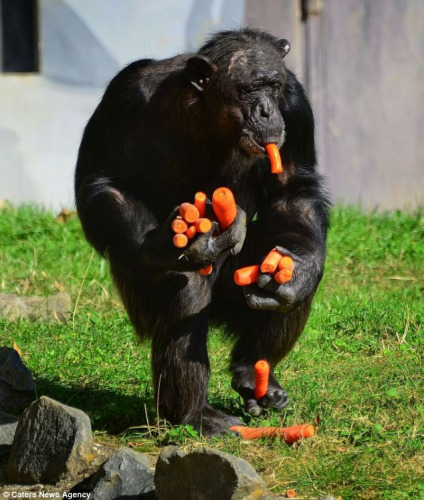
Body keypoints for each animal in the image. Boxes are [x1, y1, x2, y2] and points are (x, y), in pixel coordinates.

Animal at [74, 27, 330, 436]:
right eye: (249, 88)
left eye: (274, 85)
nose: (267, 110)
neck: (209, 117)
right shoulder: (126, 95)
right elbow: (102, 180)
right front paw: (169, 242)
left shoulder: (295, 105)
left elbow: (293, 189)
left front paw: (301, 269)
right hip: (140, 304)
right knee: (189, 289)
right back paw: (196, 415)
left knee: (281, 270)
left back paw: (255, 372)